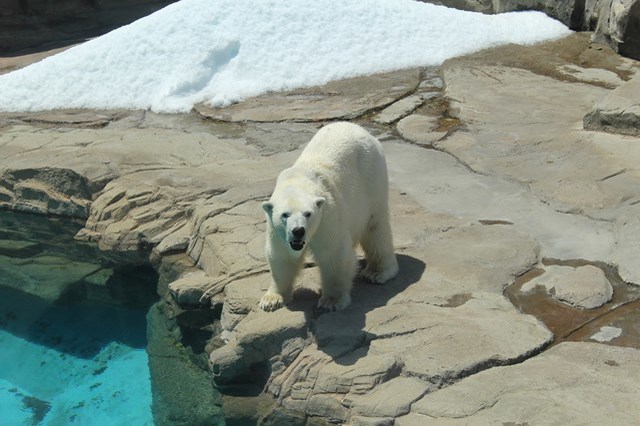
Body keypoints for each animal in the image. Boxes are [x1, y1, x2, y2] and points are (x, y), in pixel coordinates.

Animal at [258, 121, 398, 312]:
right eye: (285, 215)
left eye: (308, 214)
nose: (298, 231)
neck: (299, 179)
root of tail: (359, 129)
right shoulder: (276, 229)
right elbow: (281, 256)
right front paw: (271, 299)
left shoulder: (327, 216)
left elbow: (333, 254)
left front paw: (331, 301)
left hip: (372, 175)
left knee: (375, 226)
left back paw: (377, 272)